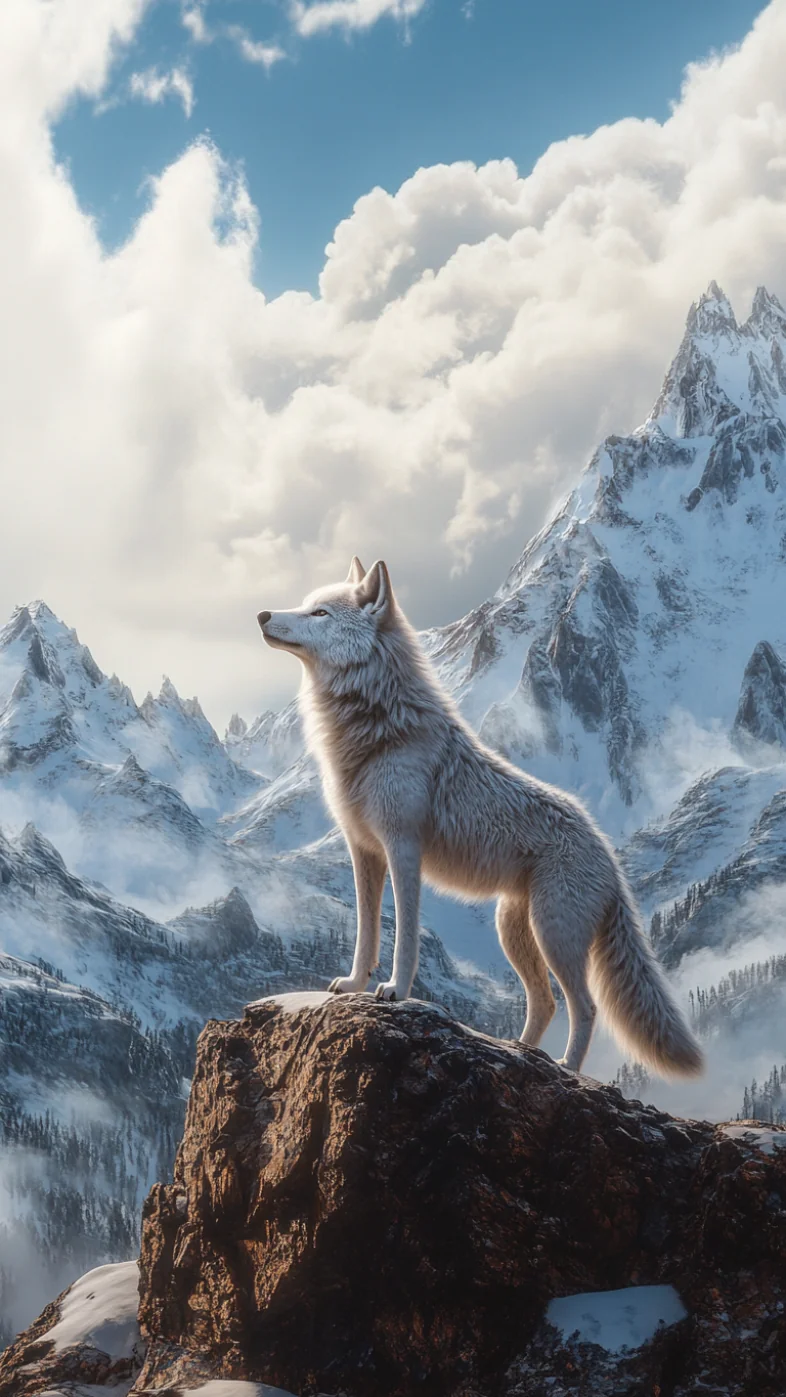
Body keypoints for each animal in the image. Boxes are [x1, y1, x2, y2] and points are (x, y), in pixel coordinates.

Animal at [257, 558, 703, 1078]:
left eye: (320, 613)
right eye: (306, 605)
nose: (262, 614)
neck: (378, 730)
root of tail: (610, 854)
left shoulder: (403, 849)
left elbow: (403, 936)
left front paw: (396, 991)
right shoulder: (363, 851)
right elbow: (366, 934)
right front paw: (352, 986)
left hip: (554, 936)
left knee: (585, 1007)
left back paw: (567, 1068)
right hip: (513, 931)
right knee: (546, 1002)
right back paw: (520, 1053)